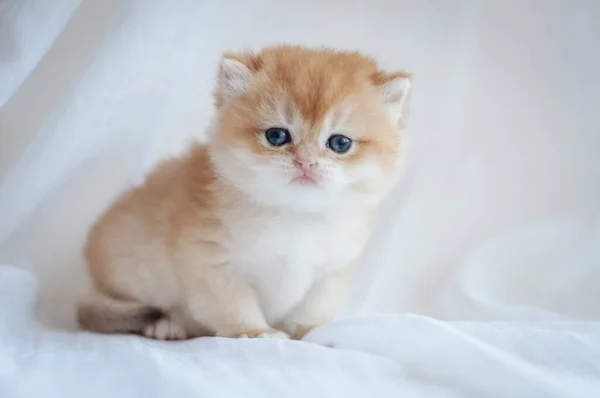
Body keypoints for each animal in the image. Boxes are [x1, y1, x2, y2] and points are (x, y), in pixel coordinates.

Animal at [78, 45, 412, 340]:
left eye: (340, 143)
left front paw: (312, 331)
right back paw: (168, 324)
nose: (305, 162)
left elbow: (313, 307)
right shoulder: (212, 263)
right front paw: (255, 332)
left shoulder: (332, 270)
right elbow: (234, 305)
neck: (295, 215)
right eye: (276, 136)